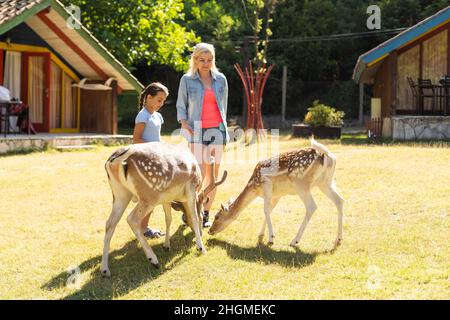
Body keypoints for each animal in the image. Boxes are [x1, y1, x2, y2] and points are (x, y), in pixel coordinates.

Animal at [100, 141, 227, 276]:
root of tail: (114, 160)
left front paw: (166, 245)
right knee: (132, 219)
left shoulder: (166, 199)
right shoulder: (191, 188)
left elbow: (168, 219)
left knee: (110, 223)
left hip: (120, 193)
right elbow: (194, 217)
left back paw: (105, 269)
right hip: (149, 195)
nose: (202, 234)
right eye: (203, 215)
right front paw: (201, 248)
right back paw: (153, 260)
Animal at [208, 138, 344, 250]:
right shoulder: (277, 195)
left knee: (312, 206)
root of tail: (327, 156)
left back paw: (294, 241)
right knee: (340, 200)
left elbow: (265, 210)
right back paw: (338, 239)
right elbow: (270, 210)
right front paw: (261, 234)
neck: (255, 187)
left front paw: (271, 238)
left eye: (217, 216)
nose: (210, 231)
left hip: (301, 184)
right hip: (325, 182)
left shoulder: (266, 184)